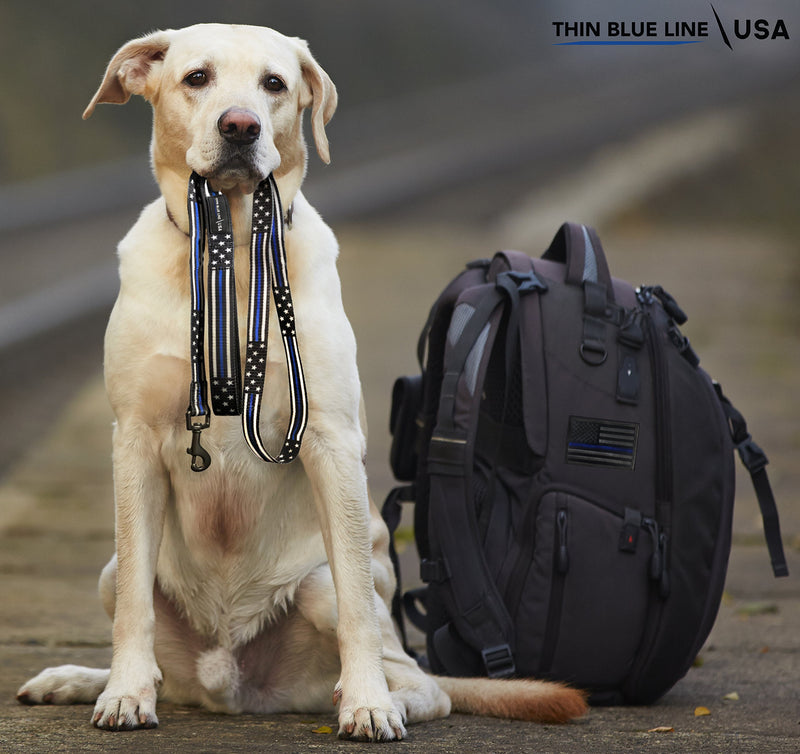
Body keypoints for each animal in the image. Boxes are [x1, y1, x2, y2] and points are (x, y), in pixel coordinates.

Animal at [14, 25, 588, 740]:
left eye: (275, 84)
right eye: (197, 78)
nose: (240, 125)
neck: (233, 246)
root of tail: (233, 687)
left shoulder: (330, 442)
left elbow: (359, 610)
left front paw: (369, 704)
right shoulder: (136, 440)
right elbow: (134, 612)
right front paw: (123, 693)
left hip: (320, 591)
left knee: (422, 678)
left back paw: (381, 697)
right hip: (111, 572)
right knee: (154, 641)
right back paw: (80, 679)